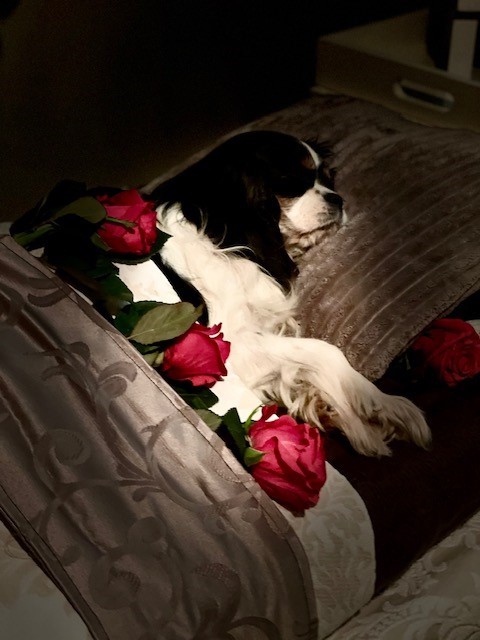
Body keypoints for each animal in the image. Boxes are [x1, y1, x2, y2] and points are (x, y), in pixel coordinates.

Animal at [147, 130, 431, 456]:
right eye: (294, 181)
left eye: (329, 178)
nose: (337, 198)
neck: (221, 231)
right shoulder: (227, 346)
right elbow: (326, 352)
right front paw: (382, 406)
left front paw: (335, 413)